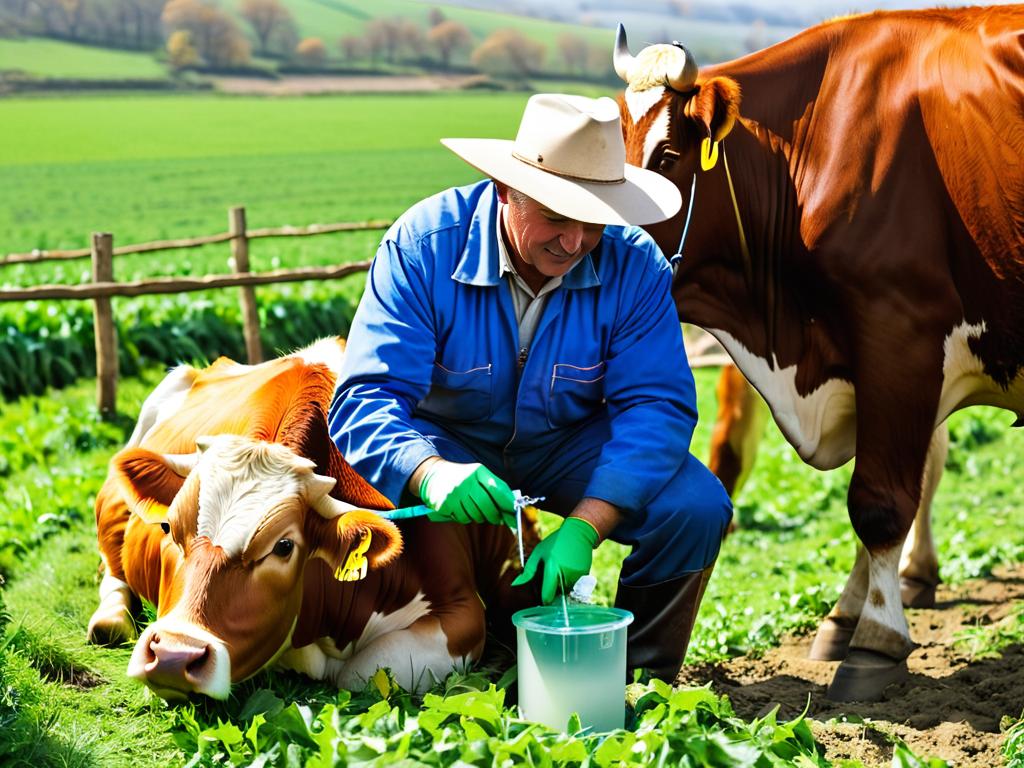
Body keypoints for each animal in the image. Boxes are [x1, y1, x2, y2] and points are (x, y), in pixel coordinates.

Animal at [87, 339, 528, 700]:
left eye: (284, 546)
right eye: (168, 528)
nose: (174, 656)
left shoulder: (461, 611)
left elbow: (362, 673)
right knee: (111, 570)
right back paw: (109, 620)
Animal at [614, 6, 1024, 704]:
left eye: (666, 156)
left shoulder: (900, 334)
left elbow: (880, 500)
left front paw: (875, 642)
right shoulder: (866, 362)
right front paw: (847, 614)